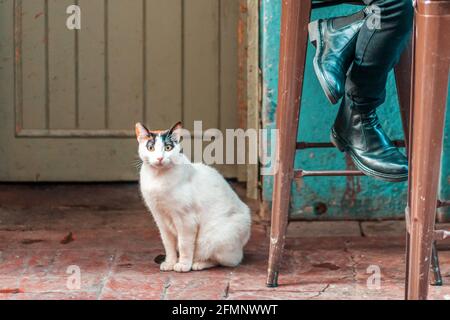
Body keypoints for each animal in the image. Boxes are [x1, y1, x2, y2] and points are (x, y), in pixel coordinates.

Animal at [135, 122, 251, 272]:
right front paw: (170, 263)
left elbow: (184, 245)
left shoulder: (186, 220)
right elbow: (168, 245)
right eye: (151, 148)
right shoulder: (160, 219)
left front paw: (183, 265)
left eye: (168, 148)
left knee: (228, 261)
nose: (160, 158)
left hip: (215, 238)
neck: (158, 179)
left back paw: (198, 264)